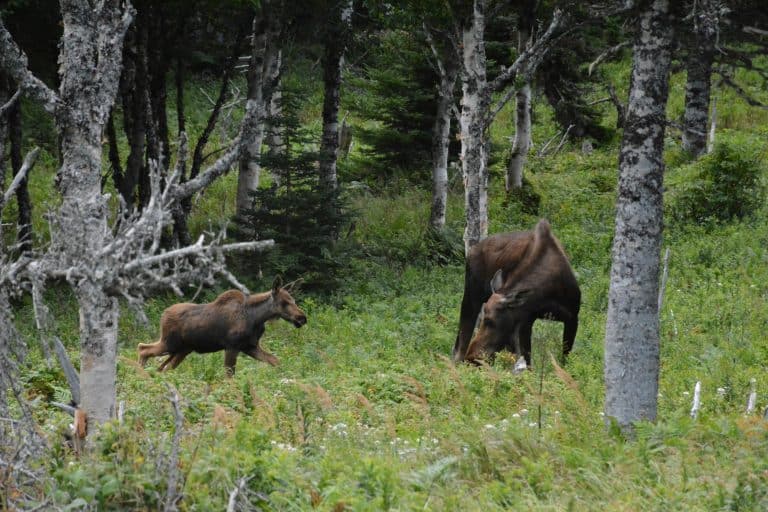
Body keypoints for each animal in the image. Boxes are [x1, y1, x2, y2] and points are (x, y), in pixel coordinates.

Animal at [138, 276, 306, 376]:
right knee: (143, 349)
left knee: (163, 368)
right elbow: (229, 376)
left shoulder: (250, 346)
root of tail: (163, 314)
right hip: (170, 343)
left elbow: (275, 361)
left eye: (293, 300)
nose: (302, 318)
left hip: (182, 350)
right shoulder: (232, 346)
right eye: (284, 302)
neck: (257, 318)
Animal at [452, 219, 580, 364]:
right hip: (472, 296)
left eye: (491, 321)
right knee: (459, 345)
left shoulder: (572, 318)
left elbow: (564, 359)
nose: (472, 356)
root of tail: (471, 252)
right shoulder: (525, 322)